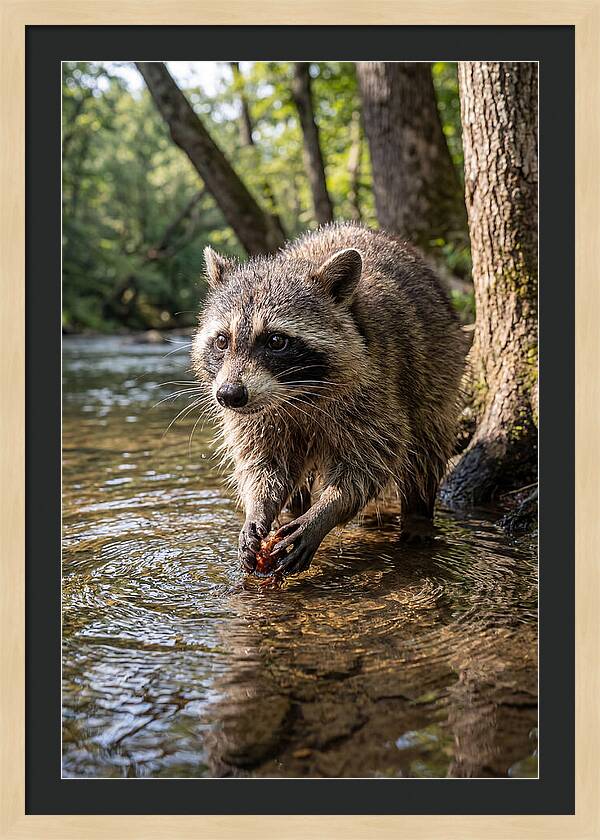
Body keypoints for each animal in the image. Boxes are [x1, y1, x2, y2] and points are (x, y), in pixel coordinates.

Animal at [192, 223, 465, 577]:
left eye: (276, 341)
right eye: (222, 341)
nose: (228, 396)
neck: (295, 394)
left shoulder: (376, 389)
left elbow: (370, 462)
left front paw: (326, 511)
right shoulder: (257, 414)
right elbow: (264, 463)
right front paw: (258, 507)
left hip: (438, 368)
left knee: (426, 448)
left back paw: (418, 514)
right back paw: (294, 509)